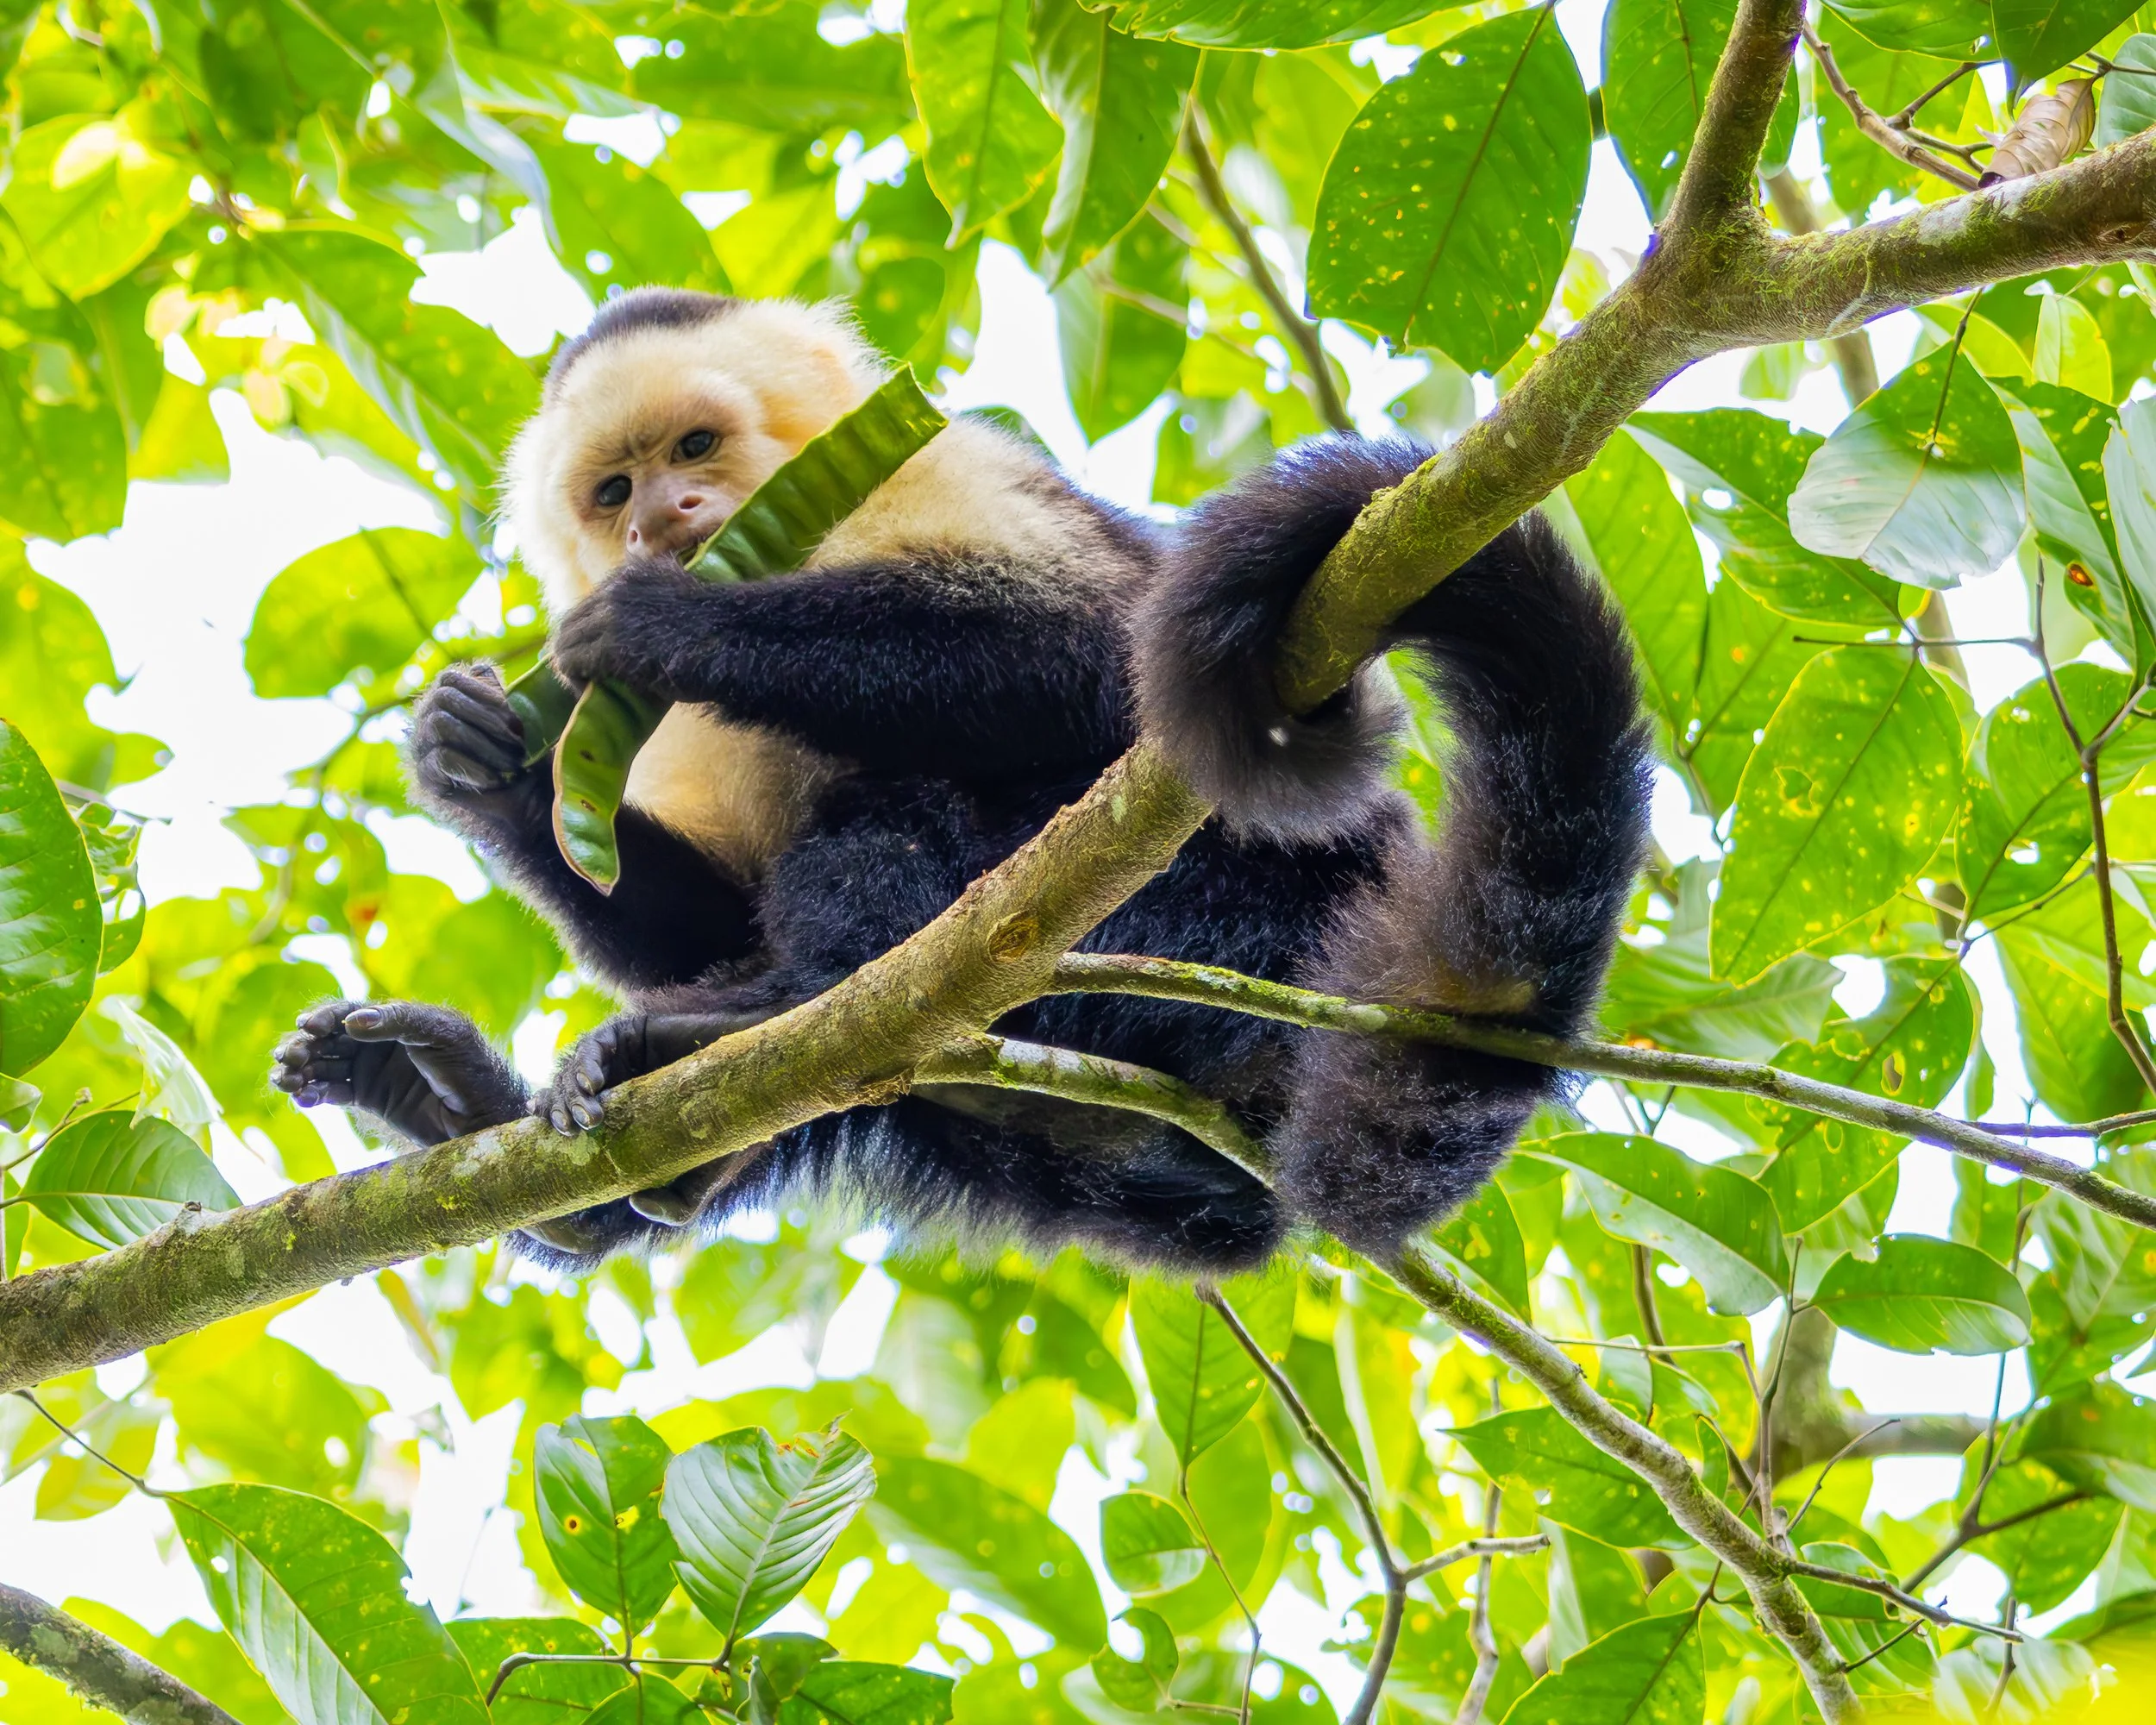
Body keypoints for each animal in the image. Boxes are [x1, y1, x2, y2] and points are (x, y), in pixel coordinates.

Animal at [271, 286, 1652, 1274]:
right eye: (613, 489)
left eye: (695, 444)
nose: (665, 519)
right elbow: (684, 923)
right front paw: (481, 760)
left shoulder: (934, 464)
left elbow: (1102, 665)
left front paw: (670, 623)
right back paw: (500, 1118)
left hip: (1225, 929)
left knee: (911, 813)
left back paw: (748, 1016)